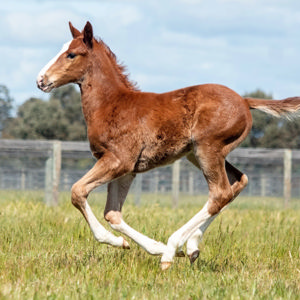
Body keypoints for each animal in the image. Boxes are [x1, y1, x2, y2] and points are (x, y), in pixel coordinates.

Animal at [37, 21, 300, 270]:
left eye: (71, 54)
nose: (41, 80)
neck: (111, 104)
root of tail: (245, 101)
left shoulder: (119, 161)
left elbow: (77, 191)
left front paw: (126, 243)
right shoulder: (126, 169)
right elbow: (112, 213)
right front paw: (143, 245)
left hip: (208, 148)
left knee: (220, 193)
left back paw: (172, 249)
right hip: (198, 153)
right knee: (238, 182)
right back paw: (191, 246)